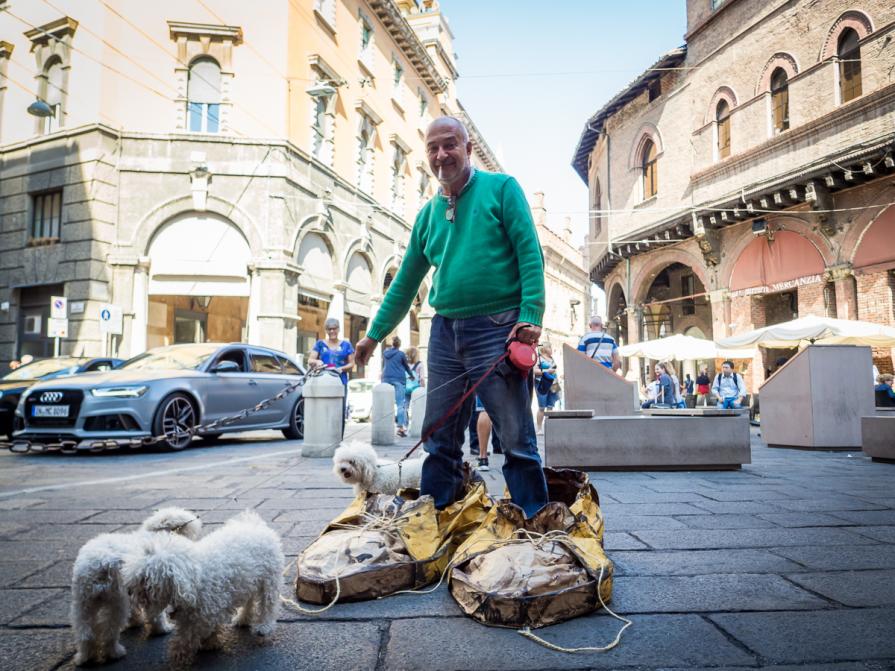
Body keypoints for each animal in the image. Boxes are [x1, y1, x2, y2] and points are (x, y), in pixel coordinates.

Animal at [70, 510, 203, 668]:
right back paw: (114, 653)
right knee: (109, 631)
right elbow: (156, 614)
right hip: (116, 602)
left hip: (83, 603)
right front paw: (162, 629)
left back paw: (84, 657)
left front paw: (136, 622)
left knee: (85, 633)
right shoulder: (152, 586)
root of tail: (98, 565)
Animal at [123, 512, 284, 664]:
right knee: (249, 601)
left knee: (268, 604)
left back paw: (264, 626)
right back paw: (243, 619)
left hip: (269, 580)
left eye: (145, 578)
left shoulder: (205, 611)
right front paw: (210, 643)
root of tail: (255, 524)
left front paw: (180, 653)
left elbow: (189, 634)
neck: (194, 575)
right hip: (249, 582)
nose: (129, 591)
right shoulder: (202, 610)